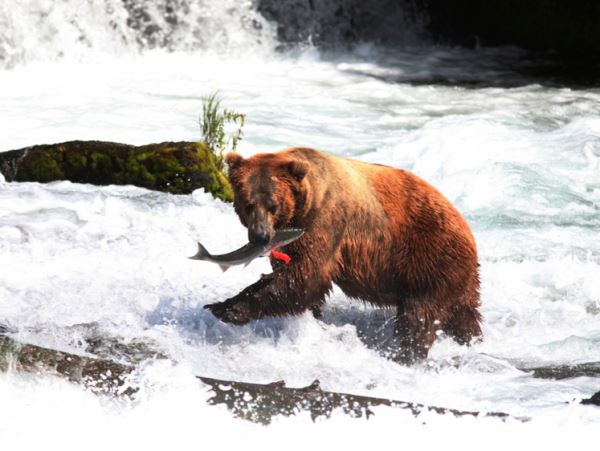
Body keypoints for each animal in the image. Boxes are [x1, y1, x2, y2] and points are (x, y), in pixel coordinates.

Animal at [206, 148, 482, 364]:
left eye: (273, 205)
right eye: (248, 203)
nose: (260, 236)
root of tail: (468, 231)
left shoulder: (326, 223)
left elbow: (304, 278)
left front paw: (226, 308)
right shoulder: (290, 241)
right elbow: (291, 278)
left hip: (429, 257)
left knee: (418, 315)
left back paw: (405, 355)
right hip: (457, 277)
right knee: (463, 315)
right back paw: (471, 341)